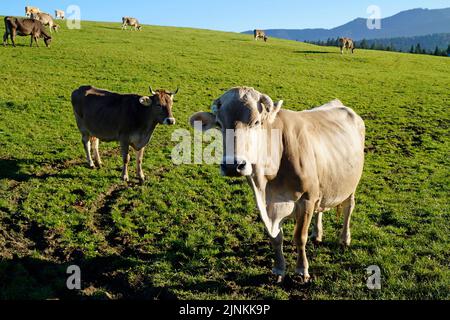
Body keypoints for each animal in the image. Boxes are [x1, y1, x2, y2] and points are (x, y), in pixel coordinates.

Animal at [190, 87, 366, 282]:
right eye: (220, 124)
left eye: (256, 122)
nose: (232, 166)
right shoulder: (266, 204)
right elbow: (275, 238)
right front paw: (279, 268)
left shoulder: (306, 198)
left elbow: (299, 236)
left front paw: (301, 270)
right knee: (321, 208)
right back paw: (317, 233)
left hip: (351, 184)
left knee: (349, 207)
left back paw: (344, 239)